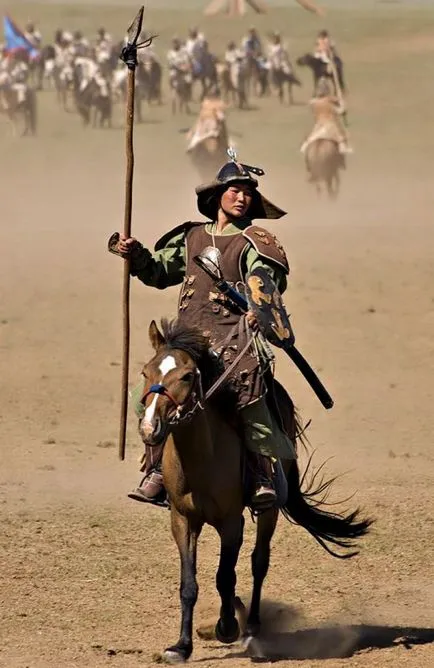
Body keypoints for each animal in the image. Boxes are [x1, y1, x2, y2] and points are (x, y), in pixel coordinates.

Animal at [139, 318, 372, 664]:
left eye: (186, 376)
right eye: (145, 372)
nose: (149, 428)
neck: (201, 458)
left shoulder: (231, 522)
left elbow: (225, 576)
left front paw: (226, 628)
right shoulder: (182, 520)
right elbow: (189, 584)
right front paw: (181, 646)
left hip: (270, 510)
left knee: (259, 561)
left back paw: (250, 627)